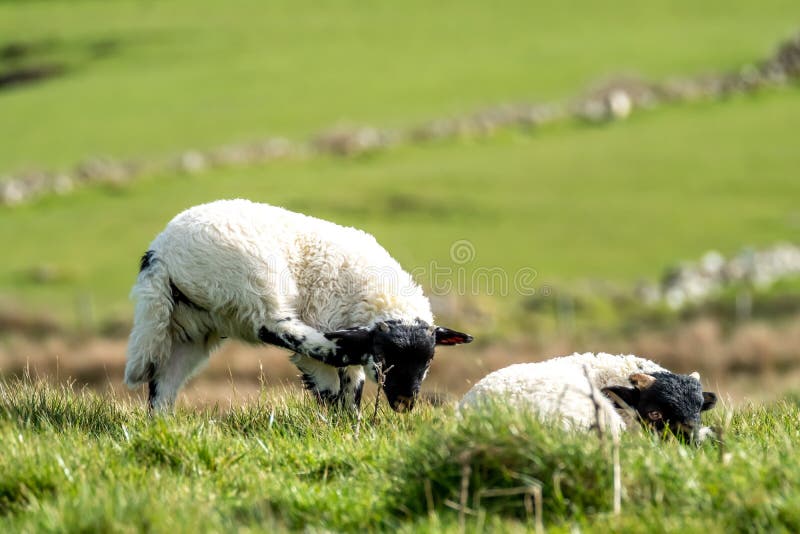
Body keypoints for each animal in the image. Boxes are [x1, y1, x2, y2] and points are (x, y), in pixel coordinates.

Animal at [125, 199, 472, 412]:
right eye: (387, 355)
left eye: (428, 360)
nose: (404, 402)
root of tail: (160, 254)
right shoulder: (327, 315)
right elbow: (332, 382)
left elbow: (353, 389)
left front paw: (352, 426)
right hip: (254, 284)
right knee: (277, 329)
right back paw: (341, 349)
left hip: (194, 326)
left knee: (163, 386)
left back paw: (161, 426)